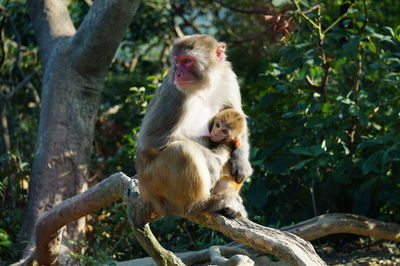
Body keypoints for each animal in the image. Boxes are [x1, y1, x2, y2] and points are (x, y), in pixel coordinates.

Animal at [136, 34, 252, 217]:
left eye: (187, 60)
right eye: (177, 61)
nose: (178, 73)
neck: (204, 86)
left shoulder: (228, 78)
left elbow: (239, 120)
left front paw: (242, 162)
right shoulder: (174, 93)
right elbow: (151, 138)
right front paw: (212, 161)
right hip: (152, 183)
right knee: (181, 151)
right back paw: (200, 205)